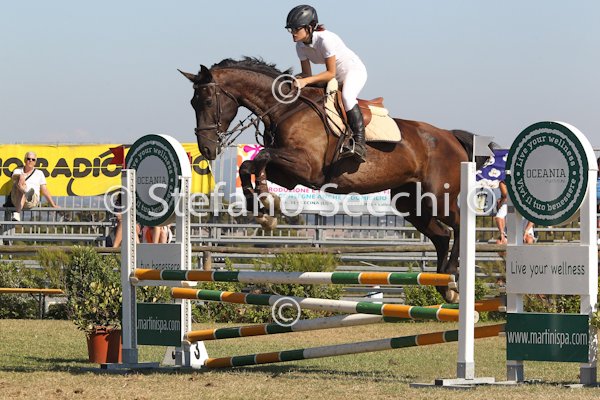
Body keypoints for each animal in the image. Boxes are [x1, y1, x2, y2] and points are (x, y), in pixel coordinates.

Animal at [180, 57, 489, 302]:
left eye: (207, 101)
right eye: (192, 103)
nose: (207, 149)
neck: (284, 109)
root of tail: (450, 137)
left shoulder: (307, 167)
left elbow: (261, 157)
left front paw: (266, 205)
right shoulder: (290, 173)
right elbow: (252, 165)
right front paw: (265, 208)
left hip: (439, 196)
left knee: (459, 225)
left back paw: (452, 276)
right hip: (411, 203)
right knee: (442, 234)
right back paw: (445, 285)